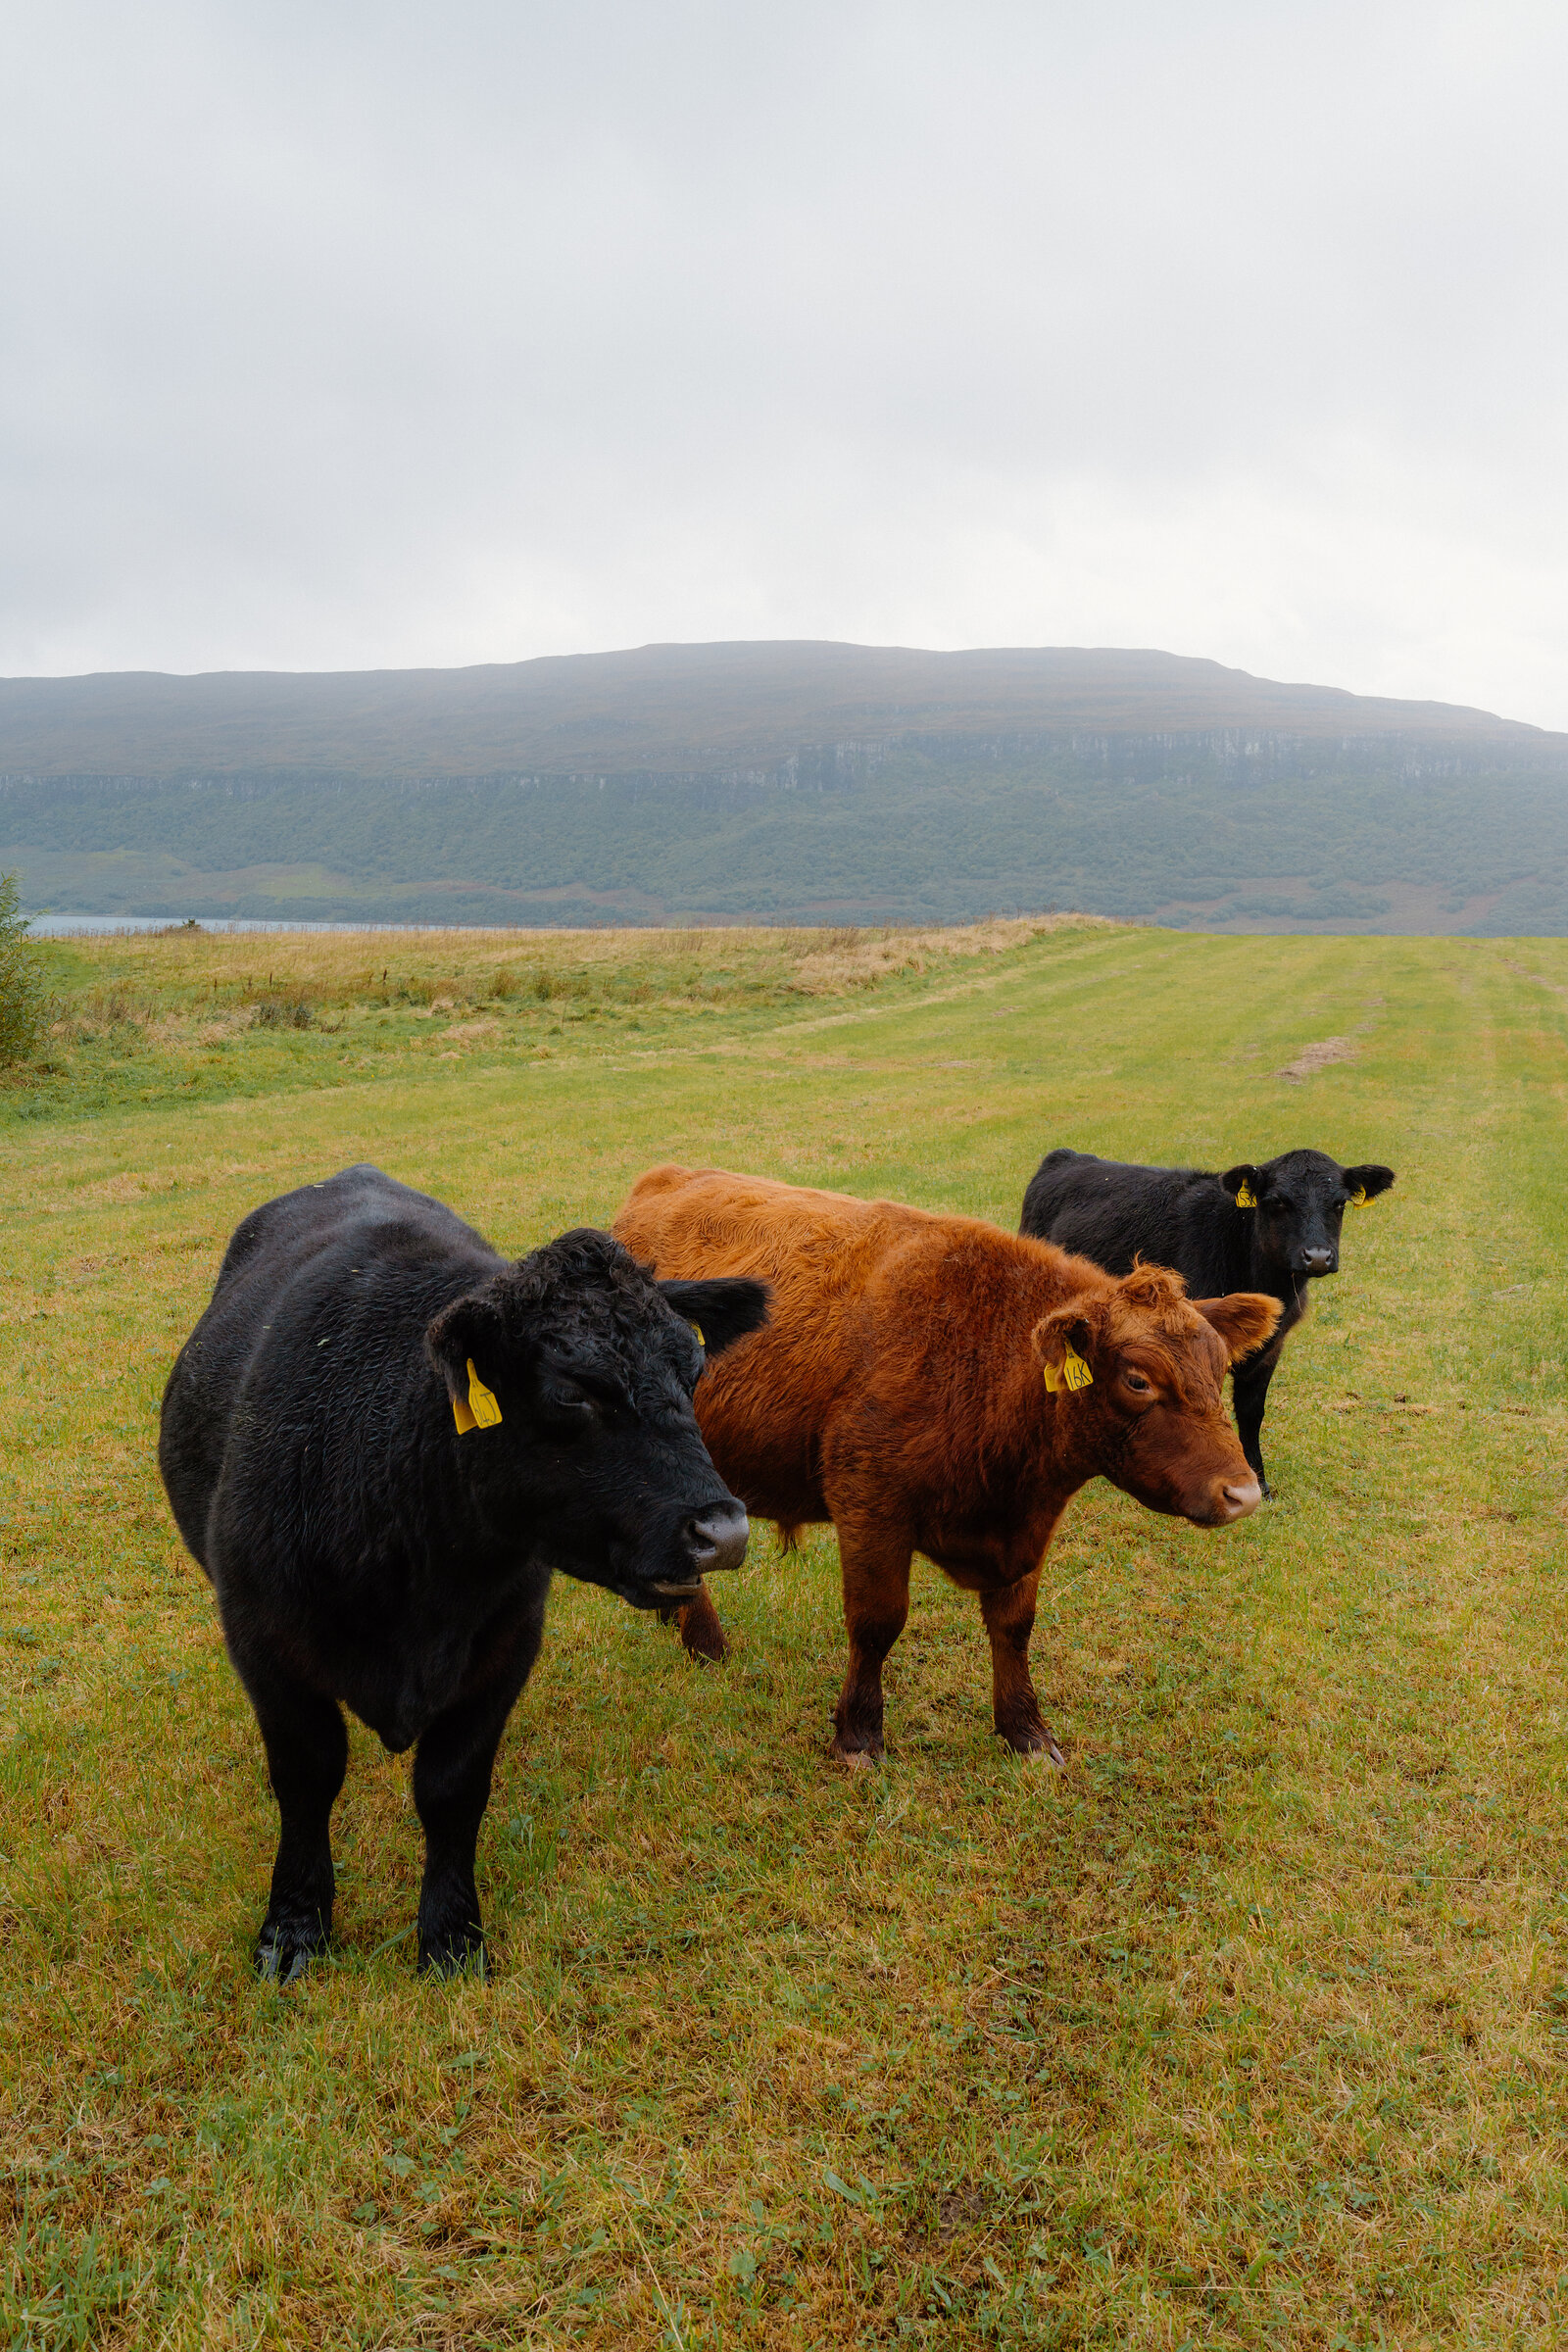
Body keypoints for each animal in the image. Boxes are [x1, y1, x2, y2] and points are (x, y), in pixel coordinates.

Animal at [159, 1165, 768, 1981]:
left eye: (694, 1370)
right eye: (571, 1388)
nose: (722, 1531)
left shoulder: (504, 1643)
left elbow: (451, 1788)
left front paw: (450, 1934)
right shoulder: (263, 1638)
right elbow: (307, 1775)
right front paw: (293, 1928)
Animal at [613, 1165, 1279, 1767]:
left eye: (1220, 1367)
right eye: (1139, 1379)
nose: (1243, 1492)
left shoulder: (1025, 1527)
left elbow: (1013, 1626)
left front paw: (1026, 1732)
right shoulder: (870, 1510)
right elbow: (876, 1623)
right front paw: (858, 1737)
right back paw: (704, 1640)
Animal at [1019, 1147, 1395, 1496]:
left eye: (1339, 1203)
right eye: (1276, 1202)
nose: (1317, 1257)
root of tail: (1066, 1156)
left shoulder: (1270, 1351)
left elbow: (1251, 1412)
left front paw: (1259, 1481)